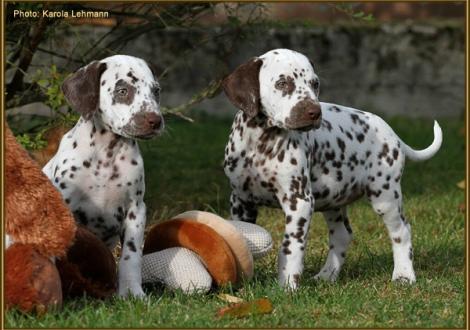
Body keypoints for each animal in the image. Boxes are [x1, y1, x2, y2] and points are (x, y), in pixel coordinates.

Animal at [42, 55, 163, 298]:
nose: (155, 120)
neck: (107, 154)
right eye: (123, 91)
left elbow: (130, 256)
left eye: (156, 91)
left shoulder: (136, 210)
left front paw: (131, 292)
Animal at [222, 48, 442, 288]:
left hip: (385, 197)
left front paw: (288, 285)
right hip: (333, 200)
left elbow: (290, 247)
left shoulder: (299, 201)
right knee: (342, 235)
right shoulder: (241, 200)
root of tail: (393, 135)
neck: (260, 143)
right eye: (282, 83)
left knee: (402, 231)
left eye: (315, 84)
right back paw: (327, 275)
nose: (314, 112)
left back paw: (403, 275)